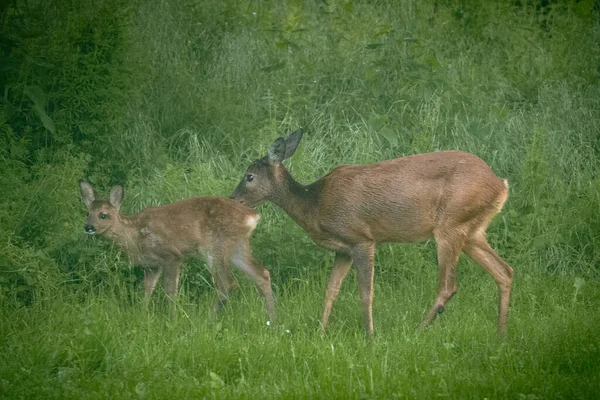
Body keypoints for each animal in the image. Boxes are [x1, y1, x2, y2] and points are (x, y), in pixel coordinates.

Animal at [79, 180, 276, 322]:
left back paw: (207, 320)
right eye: (87, 213)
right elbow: (147, 289)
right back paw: (274, 322)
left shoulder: (171, 255)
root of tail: (253, 216)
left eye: (104, 215)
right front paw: (142, 315)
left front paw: (171, 319)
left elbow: (170, 290)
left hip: (215, 247)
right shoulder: (152, 265)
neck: (136, 235)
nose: (88, 227)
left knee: (227, 284)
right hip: (237, 247)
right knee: (262, 274)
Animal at [232, 130, 512, 336]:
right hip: (472, 231)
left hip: (450, 225)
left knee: (448, 285)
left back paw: (418, 331)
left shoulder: (361, 239)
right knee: (504, 271)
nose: (233, 199)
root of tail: (501, 184)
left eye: (249, 176)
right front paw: (321, 332)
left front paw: (370, 334)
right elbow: (331, 290)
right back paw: (500, 335)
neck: (315, 204)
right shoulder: (343, 250)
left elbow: (366, 292)